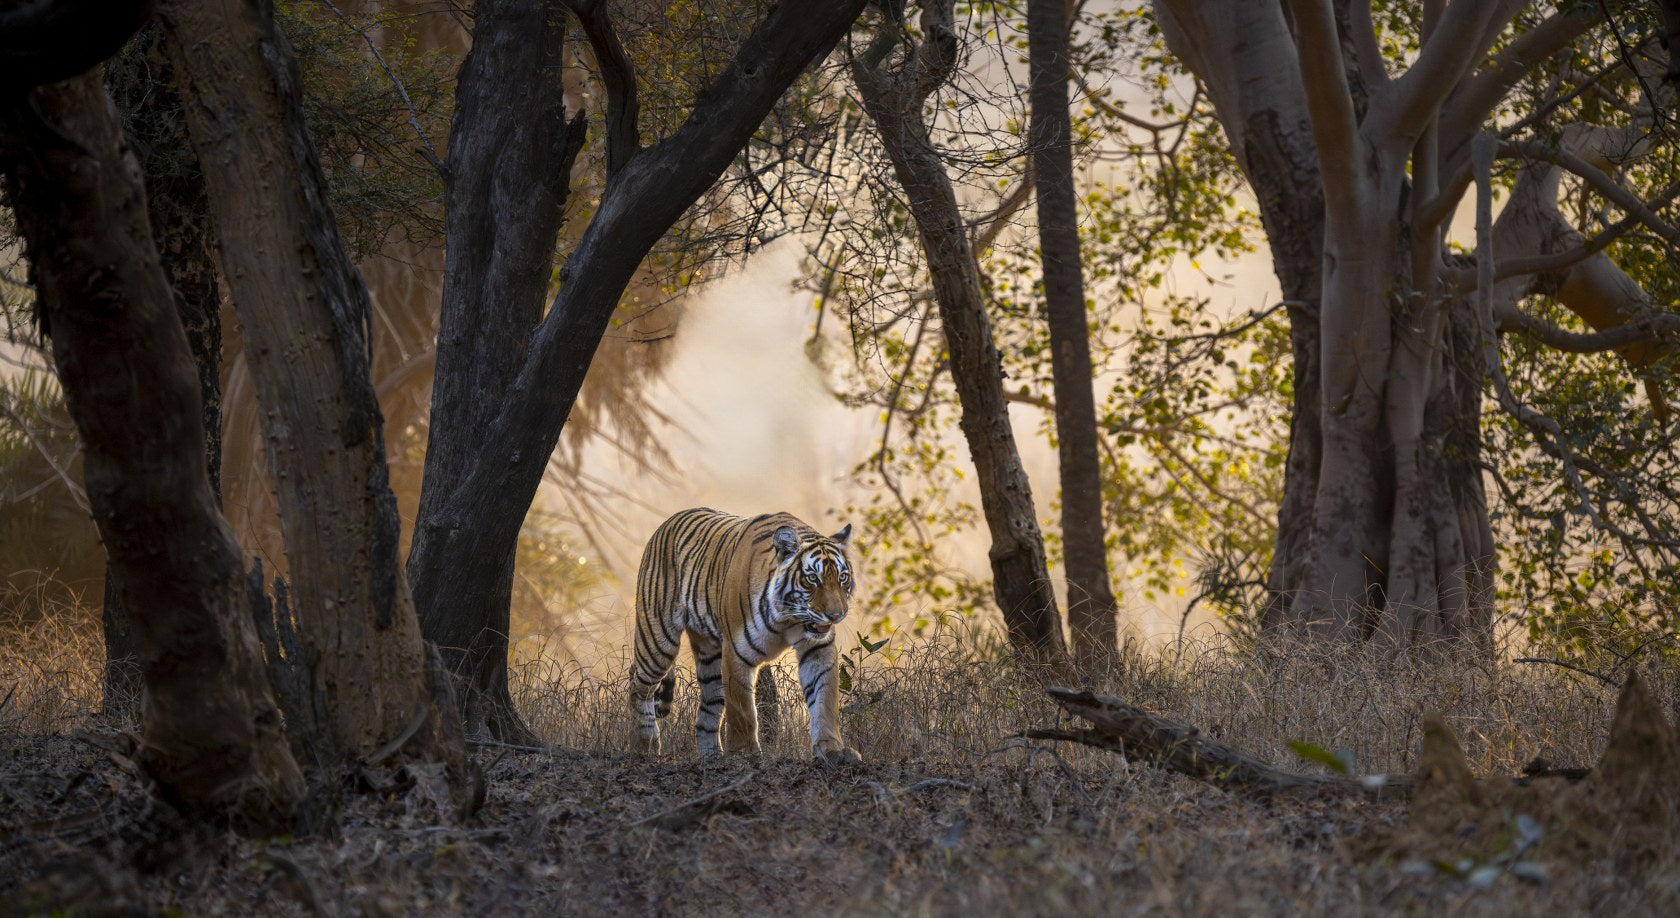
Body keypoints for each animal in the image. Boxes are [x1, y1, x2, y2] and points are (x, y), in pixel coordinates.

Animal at [629, 507, 861, 763]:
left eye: (842, 578)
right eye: (812, 579)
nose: (836, 615)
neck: (787, 618)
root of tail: (668, 522)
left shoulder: (817, 650)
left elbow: (824, 698)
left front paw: (832, 750)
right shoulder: (737, 651)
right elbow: (742, 709)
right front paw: (745, 753)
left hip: (710, 657)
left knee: (706, 713)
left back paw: (712, 758)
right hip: (658, 640)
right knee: (639, 684)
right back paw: (646, 746)